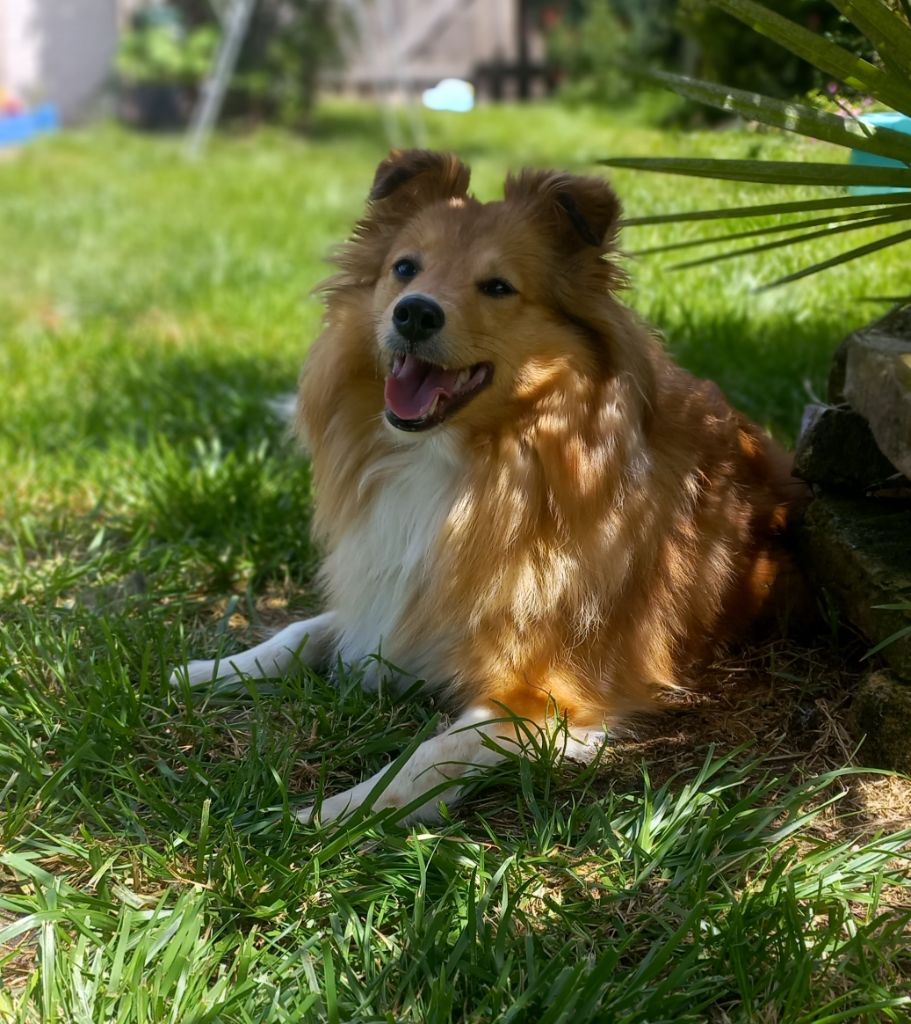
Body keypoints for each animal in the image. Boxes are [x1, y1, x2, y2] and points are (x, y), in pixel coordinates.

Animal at [171, 149, 802, 823]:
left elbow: (421, 760)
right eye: (404, 267)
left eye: (498, 286)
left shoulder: (544, 700)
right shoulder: (390, 597)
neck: (471, 466)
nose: (414, 312)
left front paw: (330, 816)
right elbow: (302, 631)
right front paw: (208, 669)